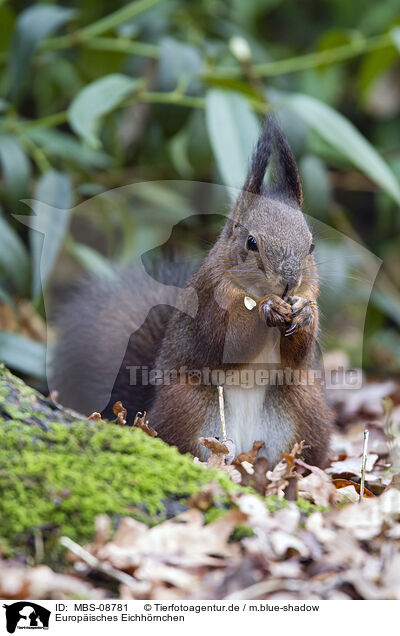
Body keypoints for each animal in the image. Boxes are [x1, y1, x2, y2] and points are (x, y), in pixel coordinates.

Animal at [54, 115, 334, 468]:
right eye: (251, 243)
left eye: (311, 246)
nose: (288, 281)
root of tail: (244, 449)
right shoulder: (207, 301)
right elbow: (224, 342)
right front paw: (267, 309)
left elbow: (299, 357)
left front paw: (305, 314)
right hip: (188, 404)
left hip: (302, 405)